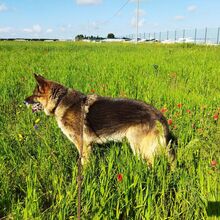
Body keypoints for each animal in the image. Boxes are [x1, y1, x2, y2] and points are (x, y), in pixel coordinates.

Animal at [24, 74, 175, 165]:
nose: (24, 100)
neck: (60, 101)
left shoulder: (83, 145)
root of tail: (157, 113)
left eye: (34, 95)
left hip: (139, 147)